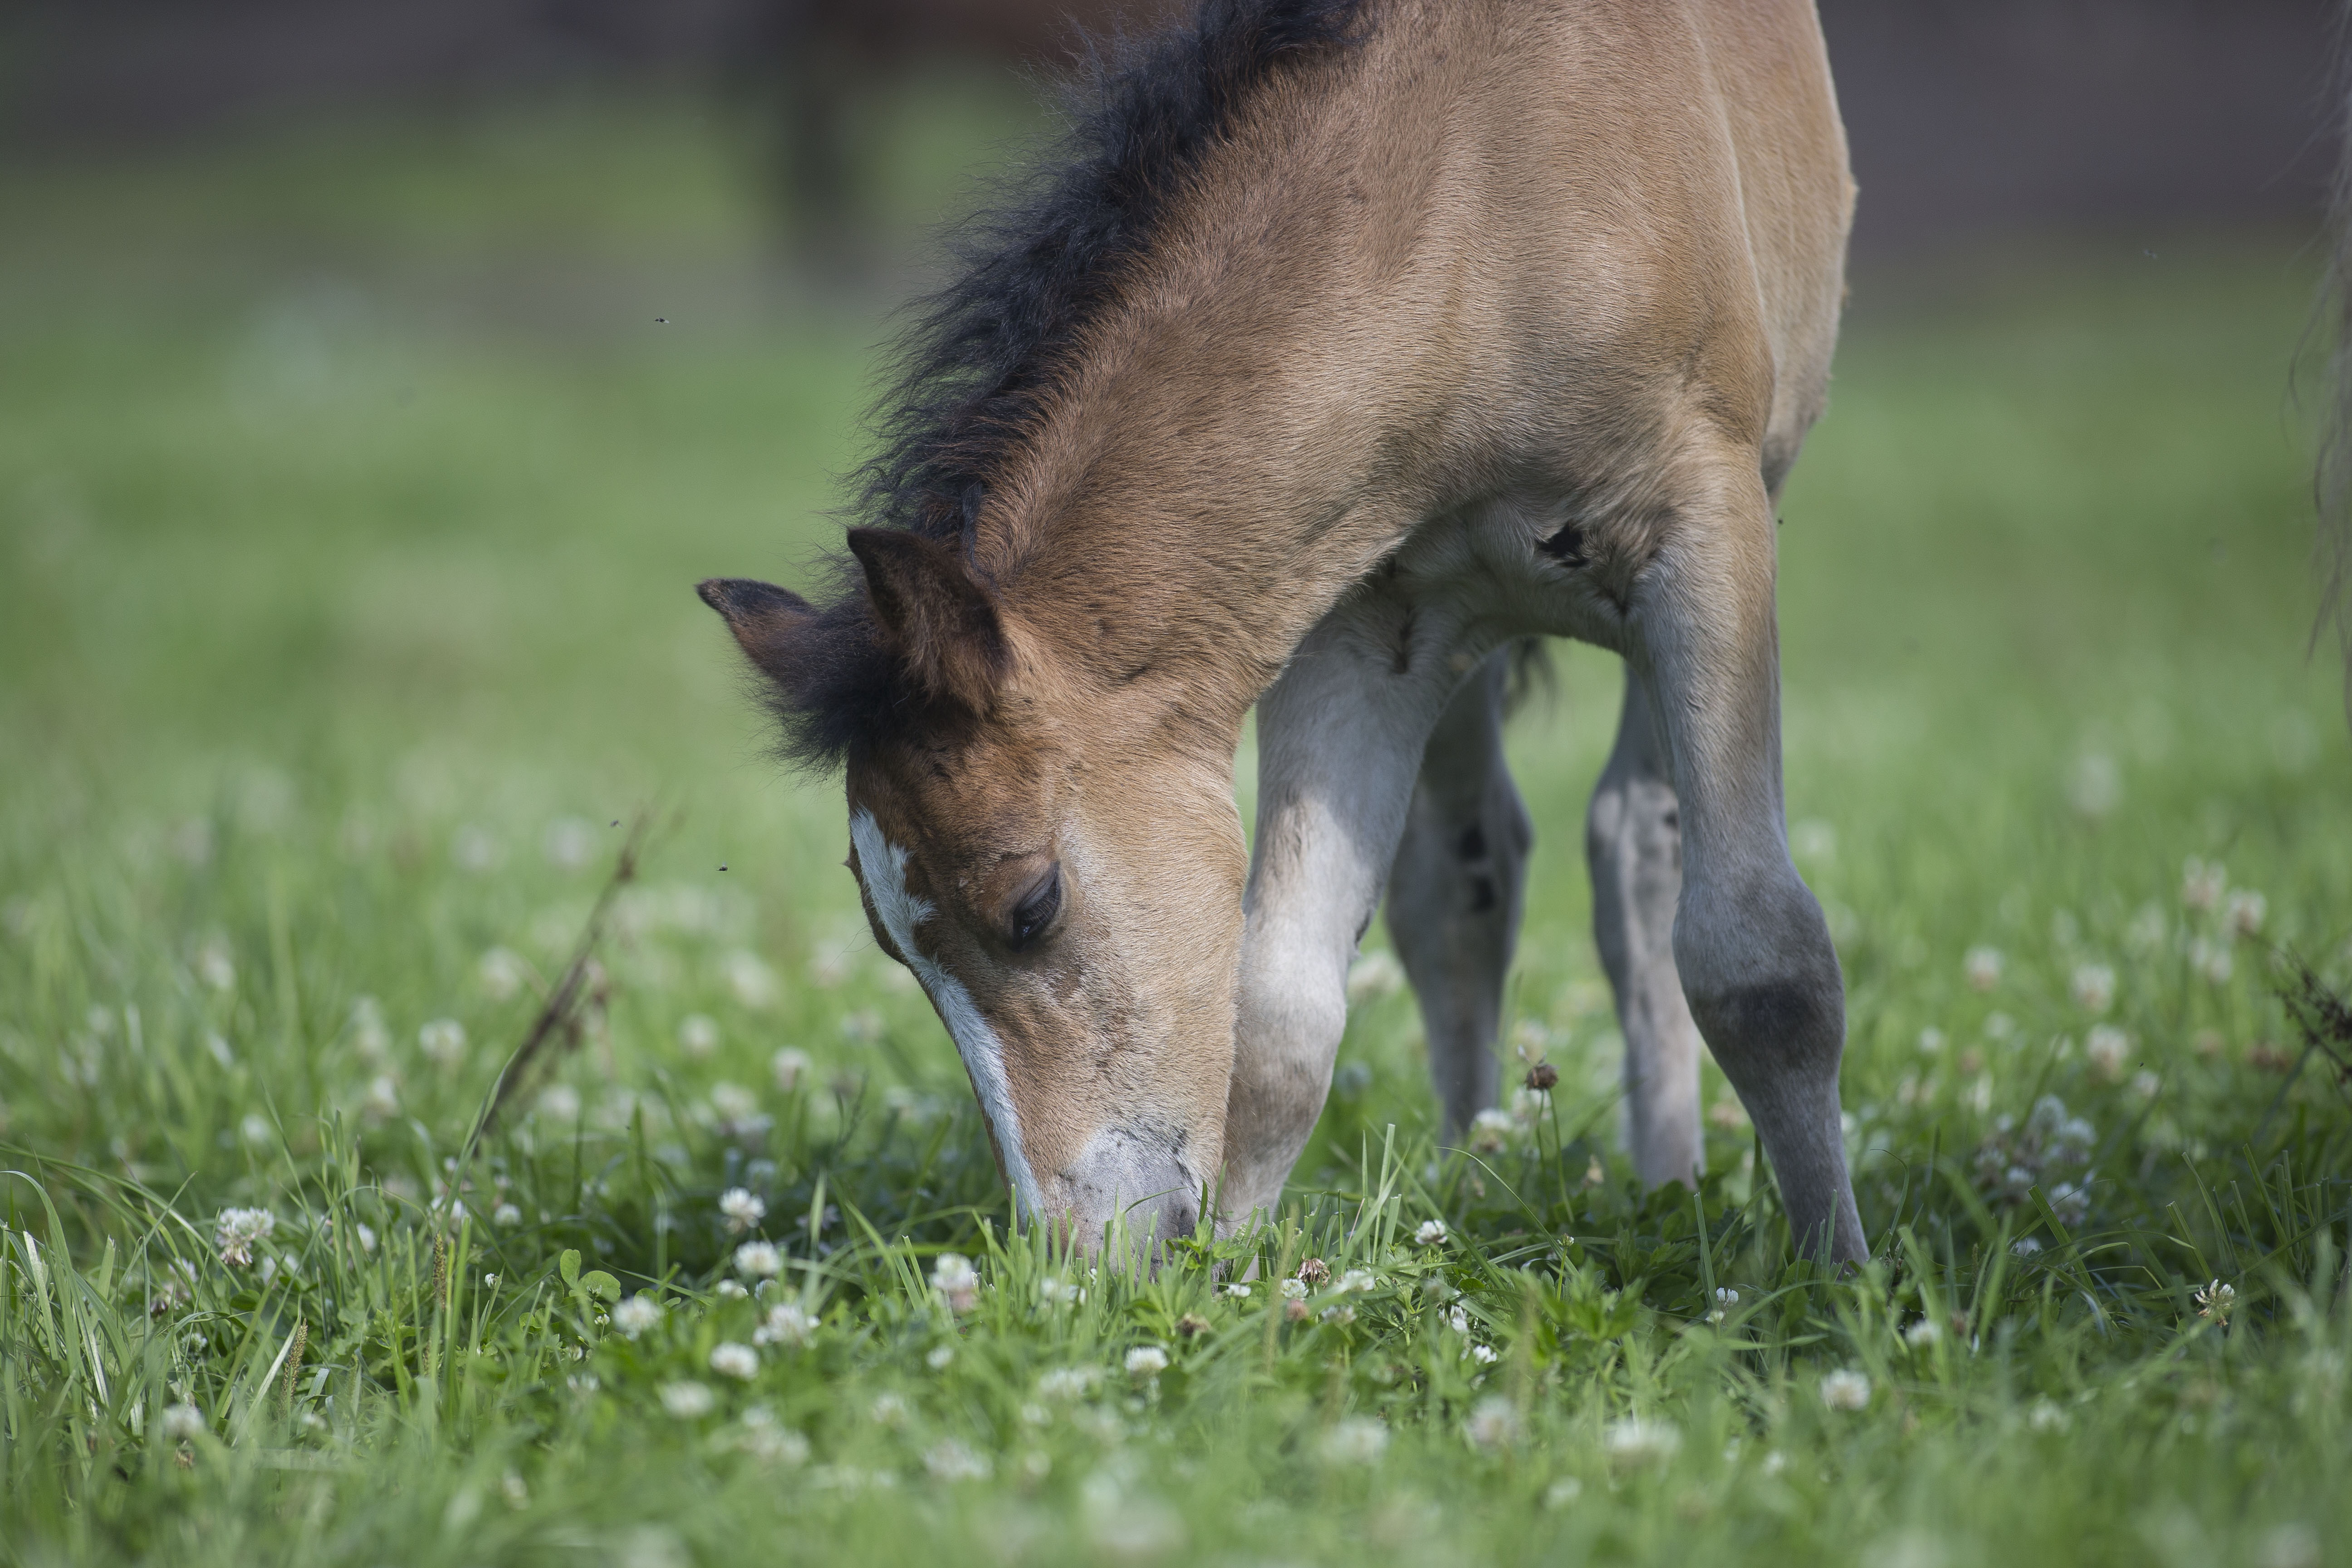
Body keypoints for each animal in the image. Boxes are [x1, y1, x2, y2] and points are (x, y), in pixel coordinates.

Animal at [701, 0, 1871, 1263]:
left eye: (1031, 905)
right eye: (893, 950)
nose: (1070, 1259)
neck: (1482, 191)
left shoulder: (1706, 534)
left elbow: (1762, 961)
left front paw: (1835, 1283)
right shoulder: (1362, 625)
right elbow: (1276, 1013)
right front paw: (1234, 1289)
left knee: (1635, 851)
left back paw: (1669, 1177)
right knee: (1463, 878)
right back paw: (1471, 1179)